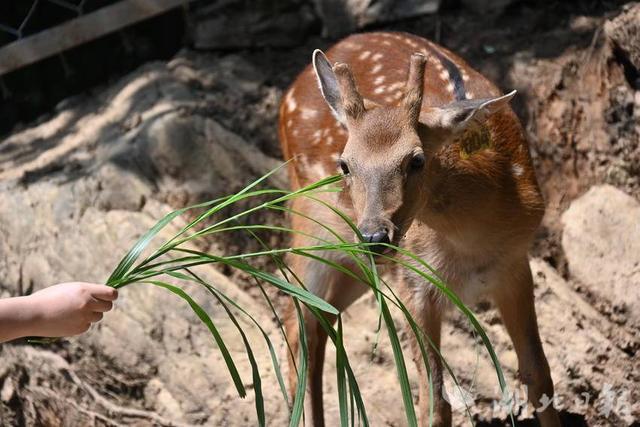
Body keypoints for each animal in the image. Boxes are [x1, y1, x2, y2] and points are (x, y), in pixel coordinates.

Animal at [278, 32, 556, 427]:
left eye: (417, 159)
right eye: (345, 164)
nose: (375, 236)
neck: (469, 244)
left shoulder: (514, 265)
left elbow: (538, 375)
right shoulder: (414, 281)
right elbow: (434, 402)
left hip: (357, 261)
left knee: (322, 318)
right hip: (310, 221)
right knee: (297, 319)